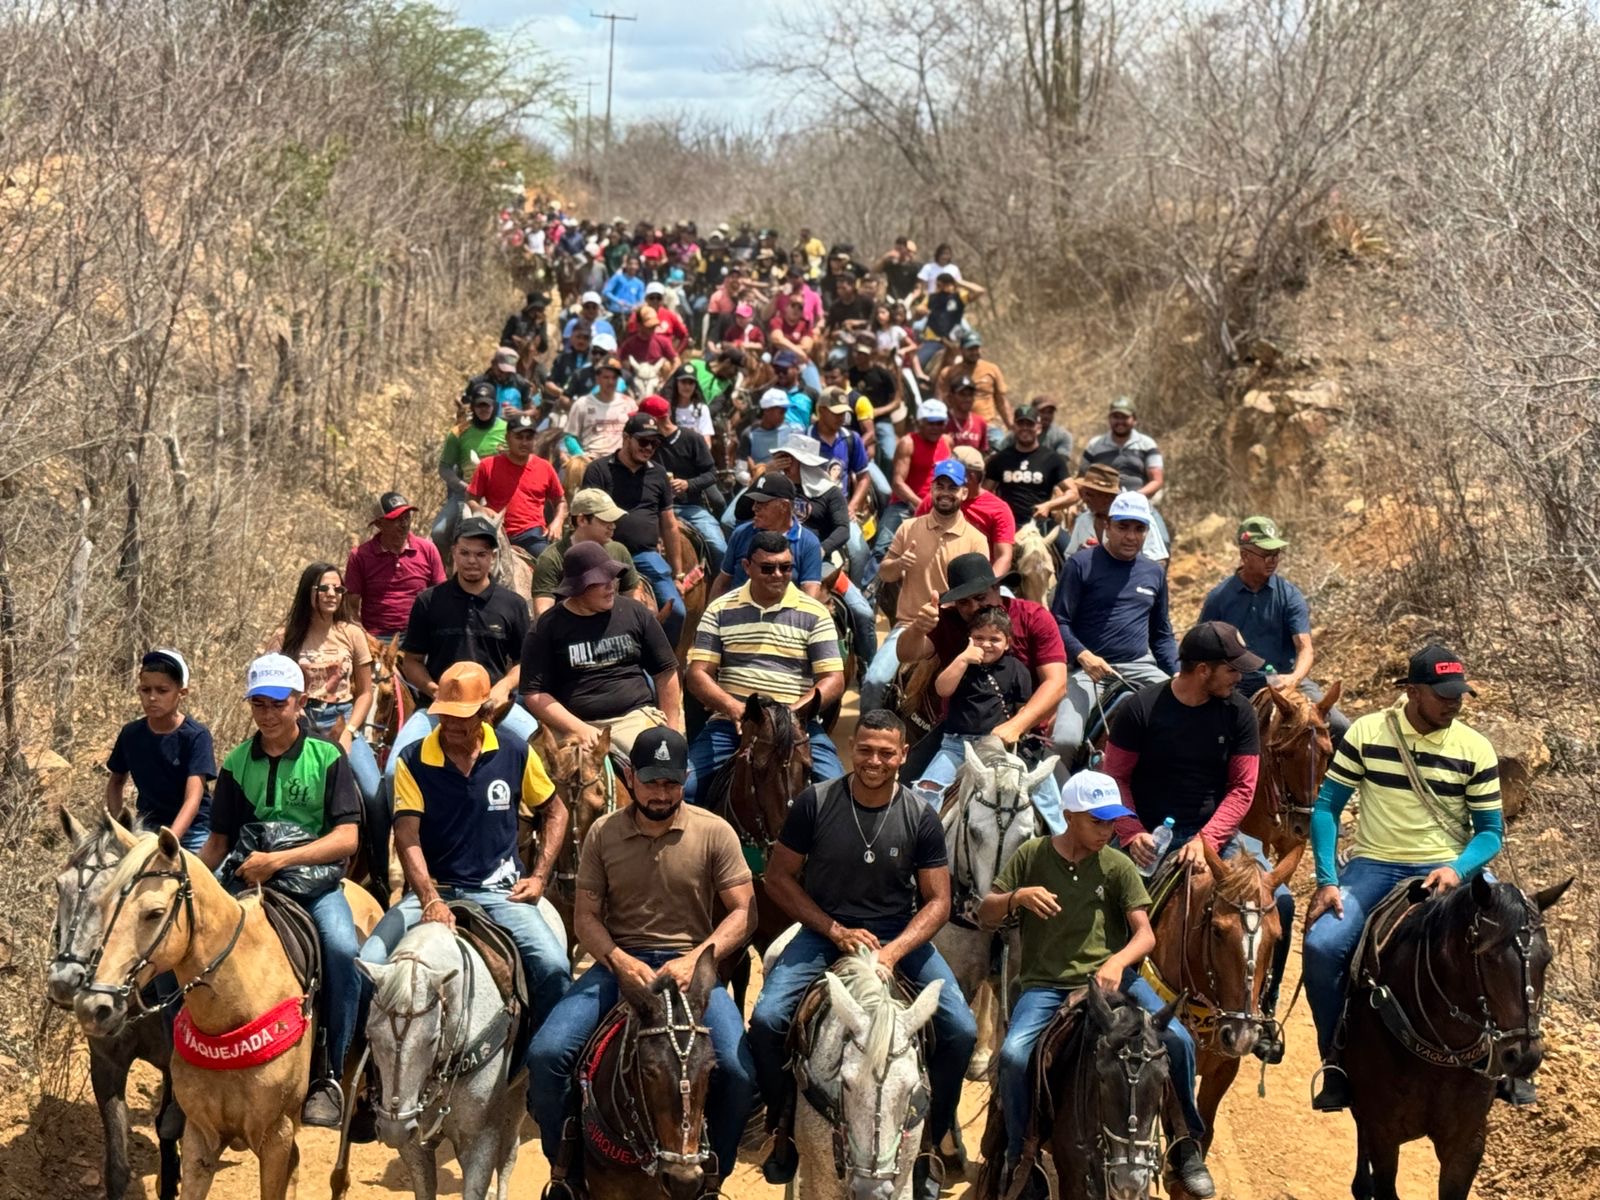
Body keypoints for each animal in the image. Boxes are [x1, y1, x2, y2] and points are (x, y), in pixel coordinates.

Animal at [48, 810, 182, 1200]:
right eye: (58, 886)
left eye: (114, 896)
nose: (64, 981)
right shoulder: (107, 1064)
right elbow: (117, 1164)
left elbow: (168, 1133)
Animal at [74, 829, 383, 1200]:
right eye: (104, 907)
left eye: (155, 913)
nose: (94, 1007)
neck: (232, 1015)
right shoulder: (201, 1136)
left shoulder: (275, 1136)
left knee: (340, 1170)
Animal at [357, 916, 561, 1200]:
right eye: (370, 1034)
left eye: (432, 1039)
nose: (394, 1131)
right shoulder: (414, 1146)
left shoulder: (479, 1141)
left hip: (519, 1097)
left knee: (508, 1156)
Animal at [1142, 842, 1303, 1179]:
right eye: (1216, 930)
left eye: (1278, 936)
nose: (1241, 1036)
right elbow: (1183, 1128)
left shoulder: (1225, 1067)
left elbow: (1205, 1130)